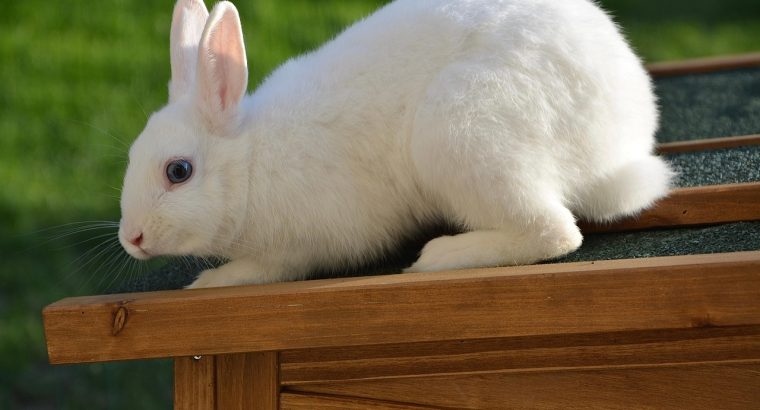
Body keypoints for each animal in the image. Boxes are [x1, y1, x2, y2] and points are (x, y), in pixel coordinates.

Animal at [118, 0, 673, 288]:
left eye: (178, 171)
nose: (132, 238)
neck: (252, 159)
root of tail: (617, 151)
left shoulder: (303, 246)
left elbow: (269, 268)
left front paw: (211, 282)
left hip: (461, 134)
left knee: (555, 233)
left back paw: (439, 257)